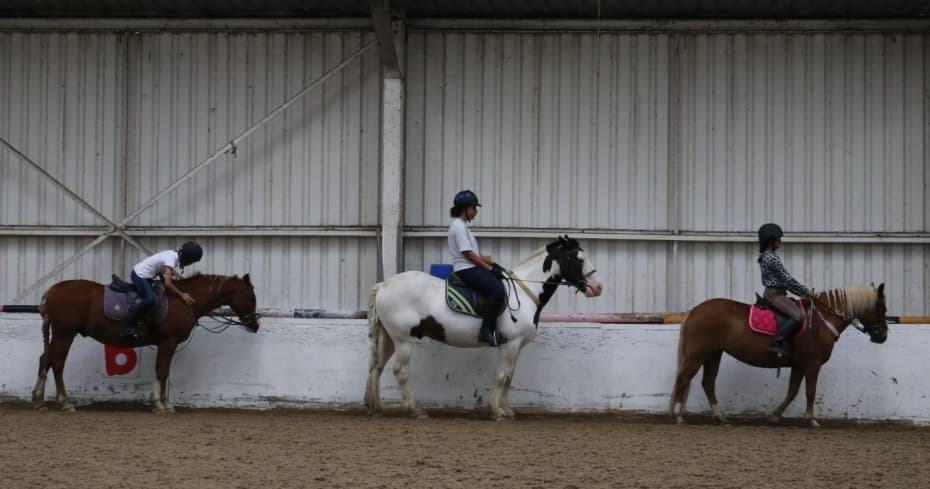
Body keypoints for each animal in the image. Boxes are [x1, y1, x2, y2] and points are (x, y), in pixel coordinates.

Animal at [32, 272, 258, 414]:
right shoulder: (168, 342)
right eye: (250, 297)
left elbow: (164, 373)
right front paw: (159, 404)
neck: (183, 300)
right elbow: (162, 372)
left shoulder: (169, 344)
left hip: (58, 334)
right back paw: (65, 402)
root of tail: (52, 291)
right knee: (57, 363)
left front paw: (164, 403)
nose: (255, 325)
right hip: (65, 334)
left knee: (45, 359)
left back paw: (39, 399)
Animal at [362, 236, 600, 420]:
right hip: (403, 340)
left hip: (389, 338)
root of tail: (384, 285)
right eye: (577, 258)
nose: (597, 288)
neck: (525, 292)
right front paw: (497, 411)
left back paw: (376, 408)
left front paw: (507, 409)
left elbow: (509, 377)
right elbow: (502, 376)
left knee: (377, 367)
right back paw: (416, 410)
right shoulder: (510, 344)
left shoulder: (516, 346)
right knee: (400, 371)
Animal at [668, 284, 884, 426]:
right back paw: (678, 416)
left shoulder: (799, 365)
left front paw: (775, 416)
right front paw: (811, 420)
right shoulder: (812, 364)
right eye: (881, 307)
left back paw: (720, 417)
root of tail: (695, 310)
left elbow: (792, 391)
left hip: (714, 354)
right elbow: (810, 392)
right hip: (698, 355)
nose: (882, 336)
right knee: (683, 379)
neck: (822, 319)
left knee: (708, 383)